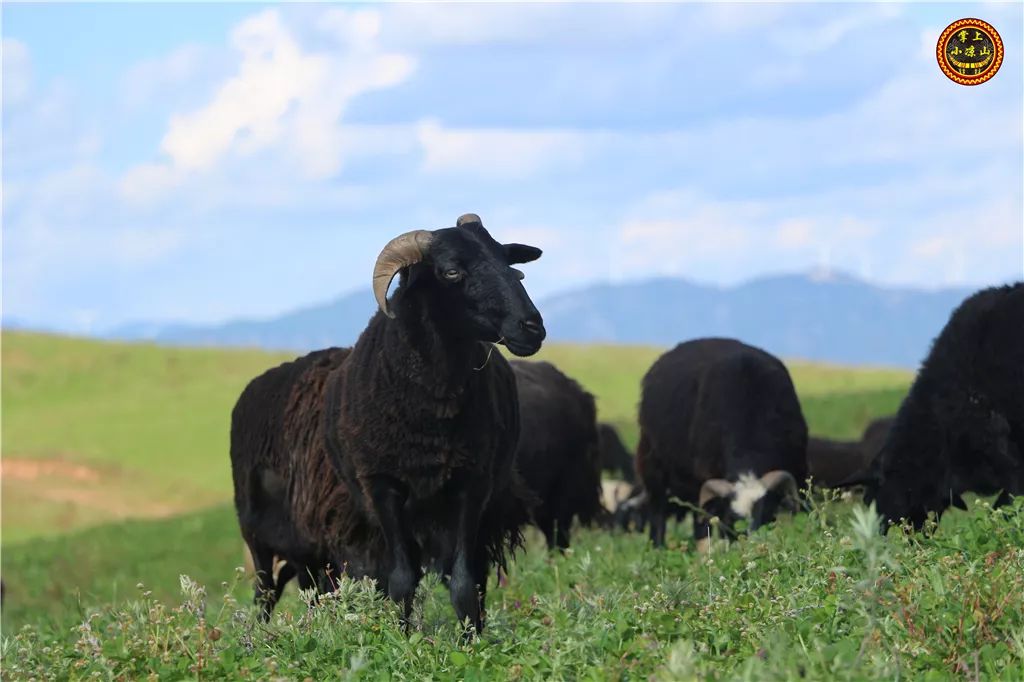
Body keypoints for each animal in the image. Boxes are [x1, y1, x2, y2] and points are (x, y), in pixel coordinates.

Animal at [630, 337, 806, 548]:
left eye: (766, 515)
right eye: (731, 519)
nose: (752, 546)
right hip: (652, 464)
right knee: (659, 509)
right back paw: (659, 547)